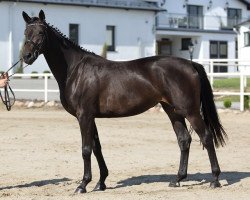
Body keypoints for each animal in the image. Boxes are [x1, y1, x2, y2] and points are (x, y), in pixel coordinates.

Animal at [21, 10, 228, 193]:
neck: (75, 70)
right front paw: (101, 183)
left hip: (190, 111)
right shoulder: (91, 117)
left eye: (40, 33)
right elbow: (97, 147)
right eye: (25, 33)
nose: (26, 56)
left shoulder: (84, 116)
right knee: (184, 140)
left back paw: (215, 179)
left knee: (206, 137)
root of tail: (191, 63)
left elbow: (86, 149)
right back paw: (177, 179)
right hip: (173, 110)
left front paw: (83, 185)